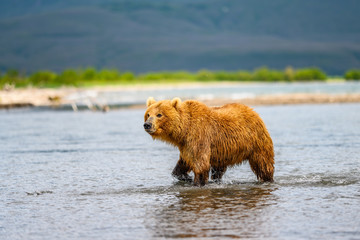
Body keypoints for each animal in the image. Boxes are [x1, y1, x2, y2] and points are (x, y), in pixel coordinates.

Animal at [142, 96, 274, 187]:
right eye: (148, 114)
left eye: (159, 114)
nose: (147, 125)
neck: (184, 130)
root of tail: (253, 111)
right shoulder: (186, 145)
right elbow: (184, 163)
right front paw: (186, 177)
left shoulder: (199, 136)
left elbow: (200, 164)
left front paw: (196, 183)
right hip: (223, 152)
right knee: (218, 169)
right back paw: (216, 180)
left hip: (256, 142)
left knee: (263, 163)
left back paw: (267, 179)